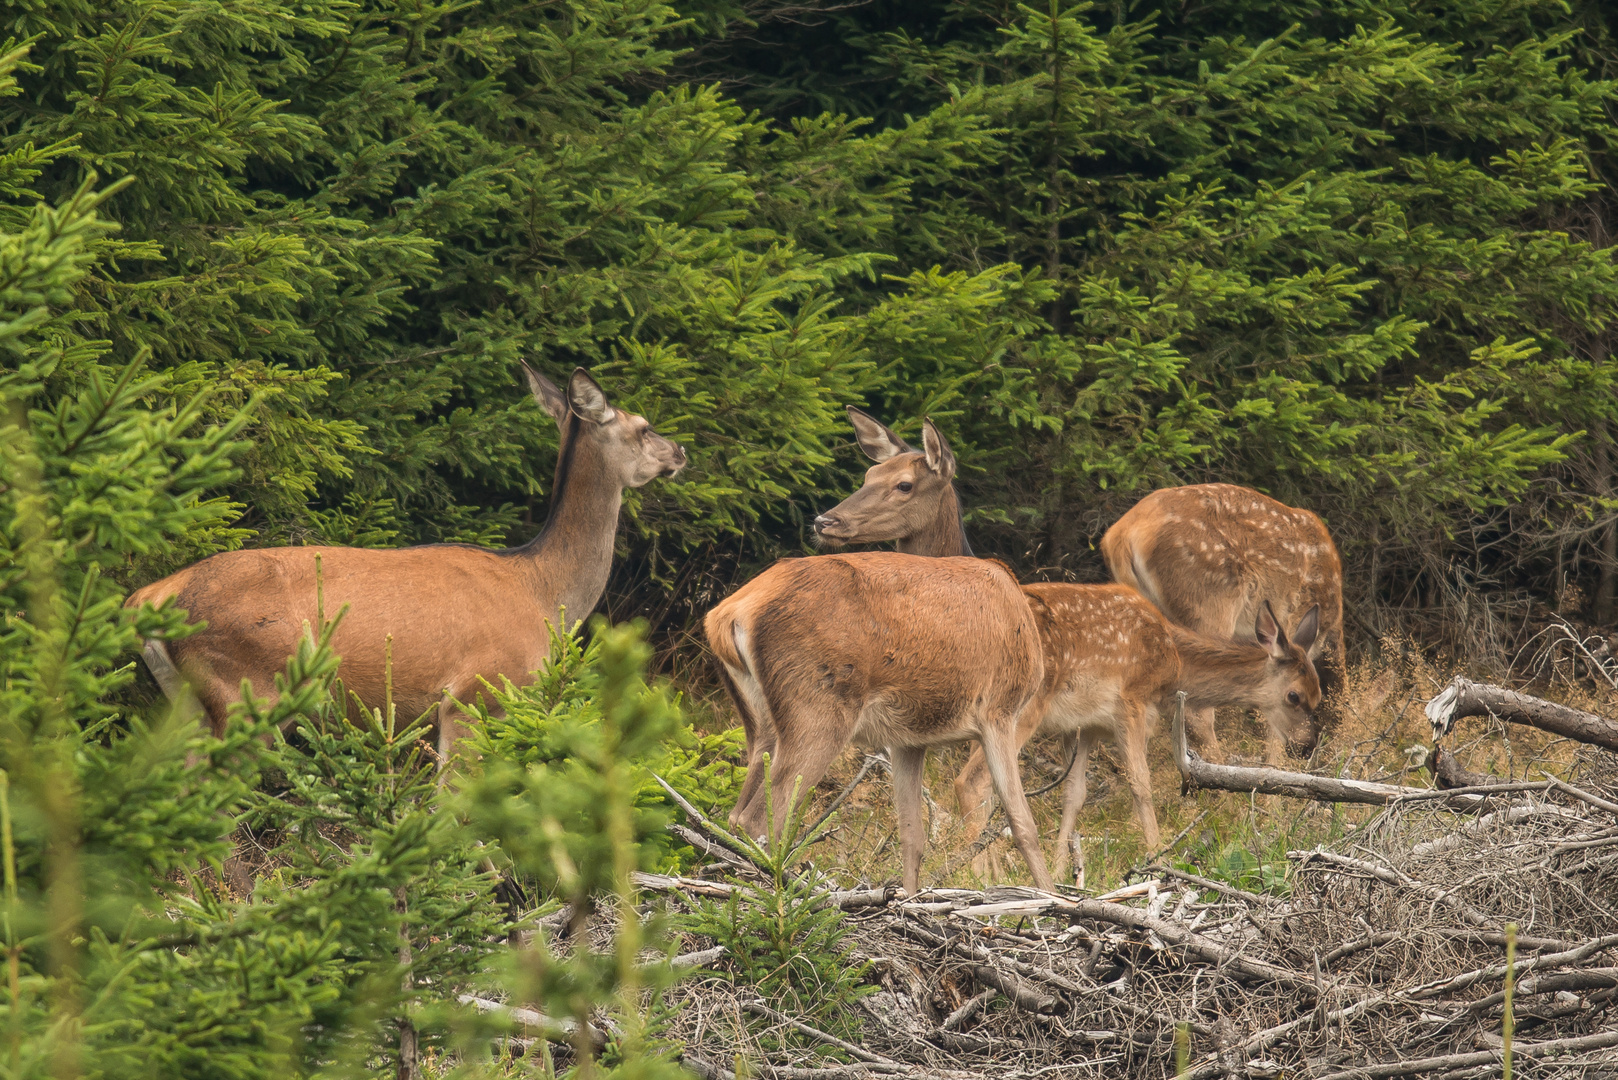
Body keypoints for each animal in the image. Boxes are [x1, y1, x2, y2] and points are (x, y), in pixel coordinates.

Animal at [124, 362, 682, 761]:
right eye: (644, 426)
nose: (679, 451)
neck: (543, 590)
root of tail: (149, 597)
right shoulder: (475, 695)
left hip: (187, 702)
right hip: (249, 688)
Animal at [705, 417, 1054, 893]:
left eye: (902, 483)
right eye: (870, 476)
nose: (825, 520)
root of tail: (730, 614)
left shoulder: (908, 737)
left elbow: (912, 835)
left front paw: (907, 898)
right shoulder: (1000, 708)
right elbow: (1023, 824)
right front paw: (1055, 898)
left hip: (759, 721)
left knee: (736, 814)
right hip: (819, 705)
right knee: (761, 817)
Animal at [1106, 482, 1346, 761]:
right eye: (1298, 697)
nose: (1306, 749)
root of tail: (1121, 536)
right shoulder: (1291, 620)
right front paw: (1275, 765)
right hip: (1209, 602)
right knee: (1196, 708)